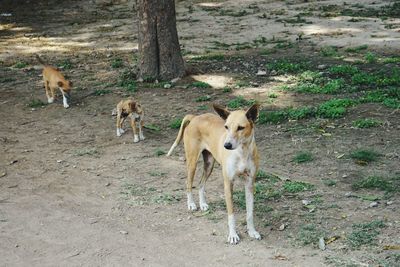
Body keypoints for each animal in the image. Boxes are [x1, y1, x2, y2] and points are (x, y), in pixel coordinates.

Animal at [167, 104, 260, 245]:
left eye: (240, 127)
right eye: (226, 127)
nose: (226, 145)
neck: (242, 152)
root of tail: (195, 117)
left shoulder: (249, 184)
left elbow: (250, 213)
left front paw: (252, 232)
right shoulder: (228, 184)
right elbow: (231, 214)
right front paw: (233, 235)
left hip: (209, 164)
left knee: (200, 184)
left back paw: (203, 204)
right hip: (192, 162)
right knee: (188, 183)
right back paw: (191, 204)